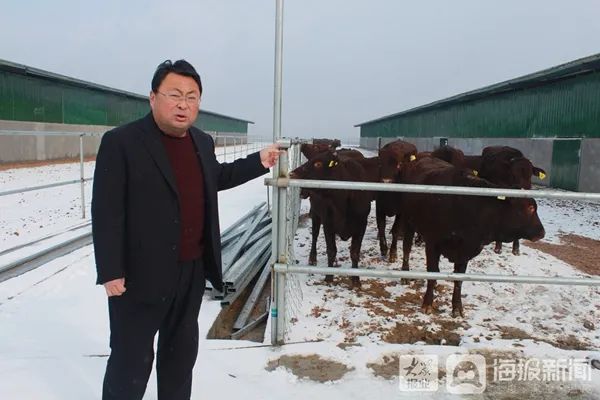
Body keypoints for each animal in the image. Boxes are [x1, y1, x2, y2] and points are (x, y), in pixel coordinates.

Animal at [290, 150, 372, 287]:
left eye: (318, 164)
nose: (291, 173)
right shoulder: (328, 224)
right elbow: (331, 251)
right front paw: (329, 276)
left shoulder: (361, 225)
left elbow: (355, 252)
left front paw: (356, 279)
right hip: (316, 215)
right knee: (315, 235)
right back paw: (312, 258)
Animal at [399, 157, 545, 317]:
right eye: (530, 208)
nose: (542, 232)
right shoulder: (433, 243)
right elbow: (433, 271)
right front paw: (427, 303)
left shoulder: (466, 250)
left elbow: (459, 279)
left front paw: (457, 307)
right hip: (407, 221)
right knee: (406, 247)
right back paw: (405, 273)